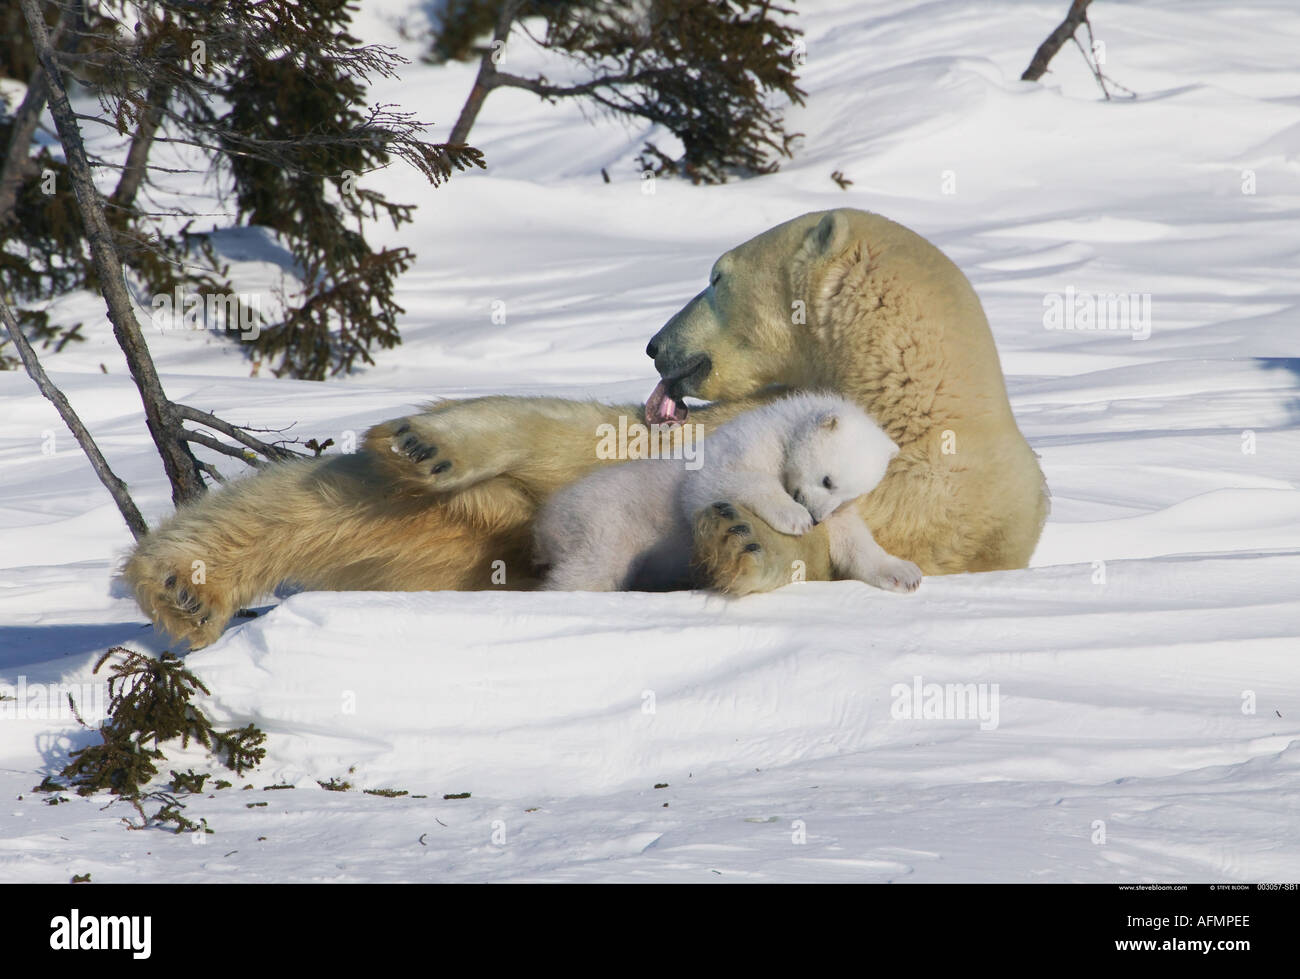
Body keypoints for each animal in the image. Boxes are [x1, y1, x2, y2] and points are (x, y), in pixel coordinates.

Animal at [534, 392, 922, 593]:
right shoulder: (746, 442)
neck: (781, 428)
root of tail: (547, 520)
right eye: (828, 480)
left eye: (848, 496)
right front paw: (793, 518)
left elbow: (853, 540)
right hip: (603, 521)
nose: (816, 518)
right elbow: (713, 481)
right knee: (591, 568)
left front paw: (906, 574)